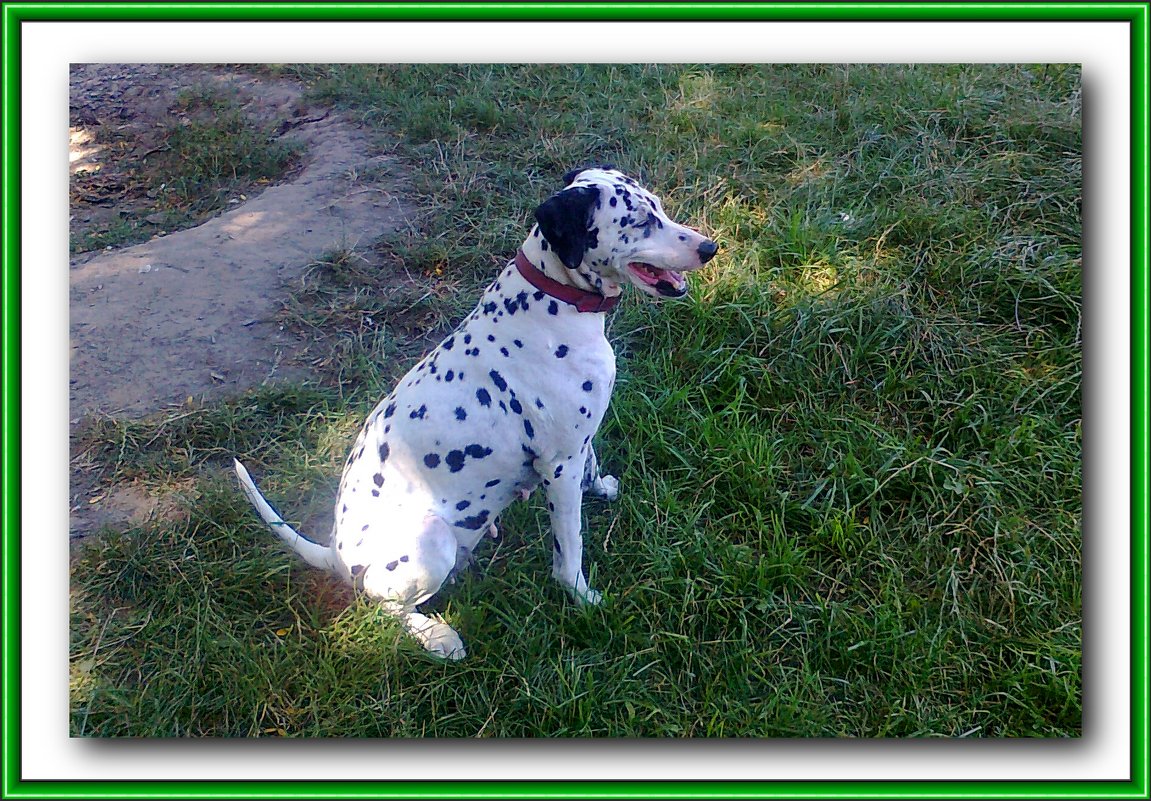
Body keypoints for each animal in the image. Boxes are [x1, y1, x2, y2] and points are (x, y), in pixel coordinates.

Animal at [235, 165, 718, 658]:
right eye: (639, 220)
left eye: (658, 206)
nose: (708, 248)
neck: (554, 301)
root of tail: (337, 554)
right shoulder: (560, 466)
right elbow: (570, 549)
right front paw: (582, 598)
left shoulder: (578, 445)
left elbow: (593, 466)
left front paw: (601, 487)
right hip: (430, 539)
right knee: (385, 606)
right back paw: (437, 636)